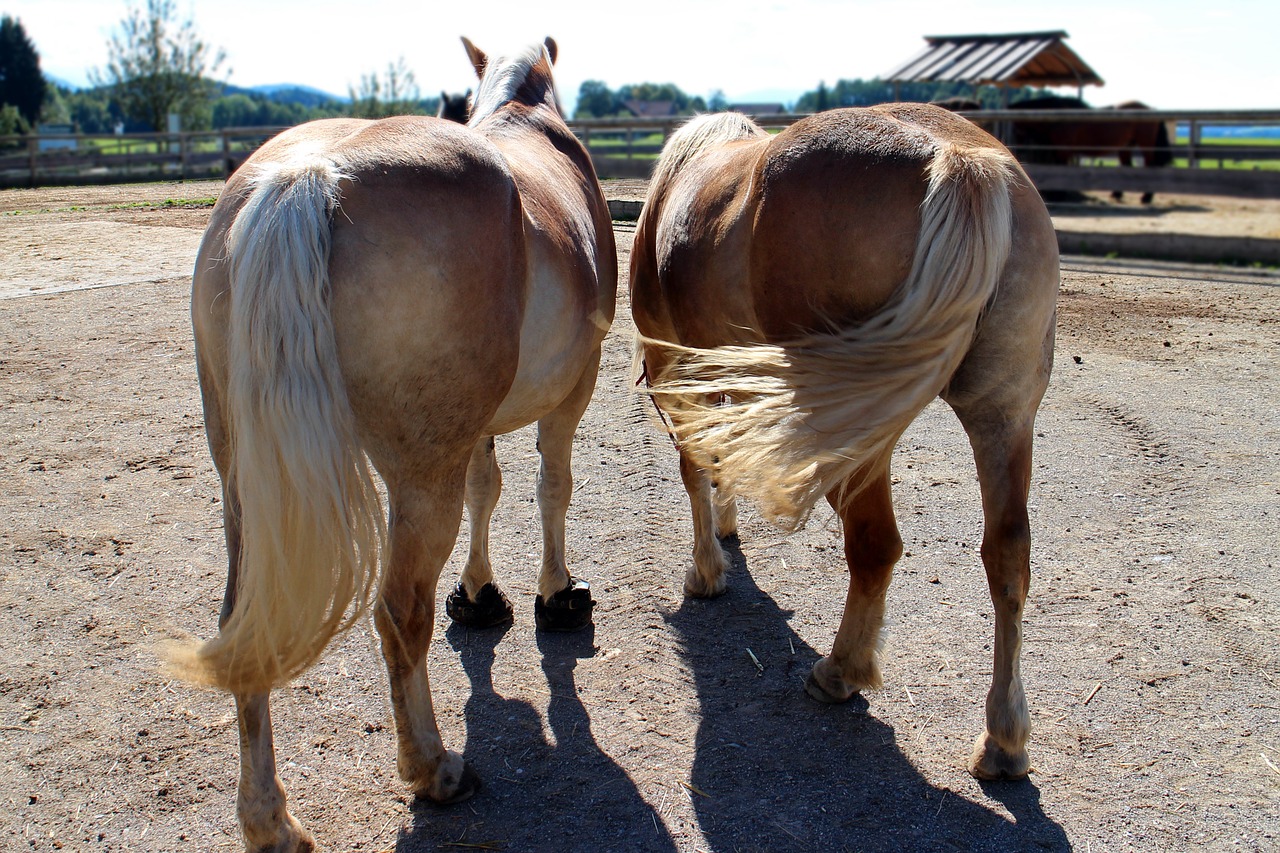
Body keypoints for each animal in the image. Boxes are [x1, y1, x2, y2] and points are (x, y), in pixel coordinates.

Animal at [177, 36, 616, 845]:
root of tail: (305, 177)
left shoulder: (475, 432)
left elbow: (488, 490)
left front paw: (479, 595)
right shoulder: (573, 392)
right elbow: (551, 488)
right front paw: (555, 595)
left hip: (243, 484)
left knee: (244, 623)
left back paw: (270, 821)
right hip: (417, 477)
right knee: (400, 612)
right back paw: (433, 768)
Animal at [1003, 94, 1172, 203]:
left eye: (1016, 131)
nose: (1015, 152)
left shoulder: (1063, 150)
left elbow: (1062, 169)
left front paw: (1059, 195)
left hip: (1145, 145)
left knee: (1150, 166)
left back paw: (1146, 197)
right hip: (1126, 146)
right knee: (1126, 167)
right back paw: (1117, 194)